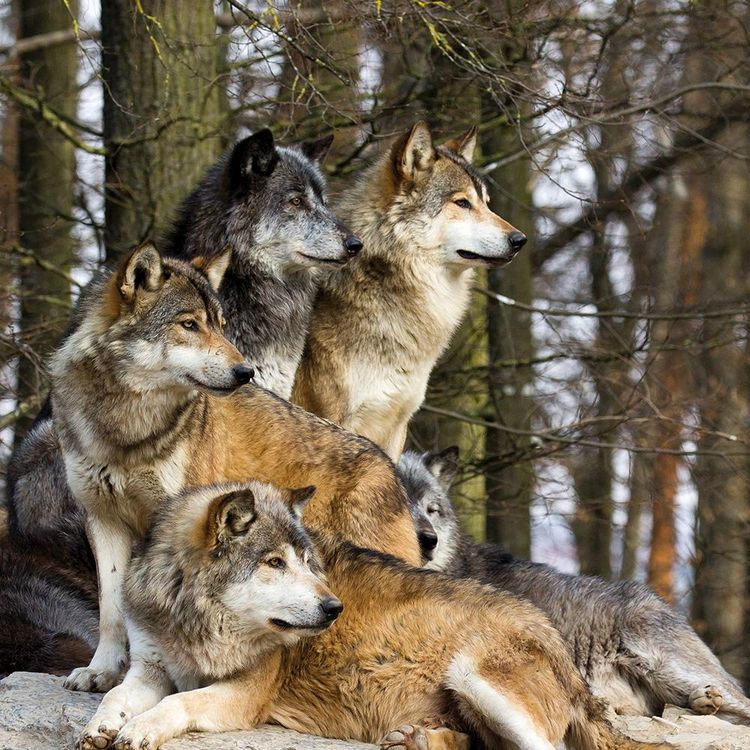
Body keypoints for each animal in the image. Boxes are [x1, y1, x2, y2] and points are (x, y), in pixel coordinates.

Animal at [50, 243, 421, 693]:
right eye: (189, 325)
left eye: (222, 326)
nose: (246, 371)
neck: (127, 429)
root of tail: (390, 466)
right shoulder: (102, 519)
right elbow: (111, 608)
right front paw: (101, 671)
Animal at [78, 482, 663, 750]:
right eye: (275, 563)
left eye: (309, 562)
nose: (333, 607)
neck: (195, 621)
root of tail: (559, 644)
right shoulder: (149, 667)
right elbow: (116, 696)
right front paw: (103, 725)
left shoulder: (245, 695)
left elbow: (179, 702)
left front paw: (139, 730)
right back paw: (416, 740)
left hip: (473, 676)